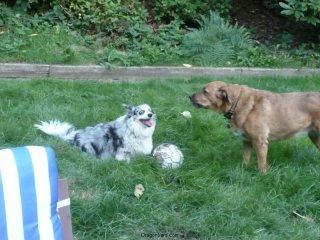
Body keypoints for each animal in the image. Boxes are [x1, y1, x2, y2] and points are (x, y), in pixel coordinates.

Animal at [190, 80, 320, 172]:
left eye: (205, 91)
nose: (189, 97)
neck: (237, 102)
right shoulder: (246, 141)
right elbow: (245, 159)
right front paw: (244, 170)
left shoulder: (260, 141)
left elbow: (261, 165)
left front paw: (263, 178)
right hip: (315, 137)